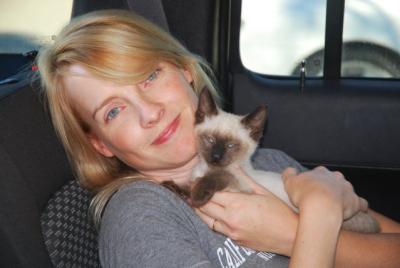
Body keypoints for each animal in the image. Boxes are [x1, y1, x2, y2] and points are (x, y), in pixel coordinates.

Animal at [190, 87, 378, 232]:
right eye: (210, 140)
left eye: (230, 146)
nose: (215, 157)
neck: (205, 168)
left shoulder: (240, 185)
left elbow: (218, 177)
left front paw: (197, 196)